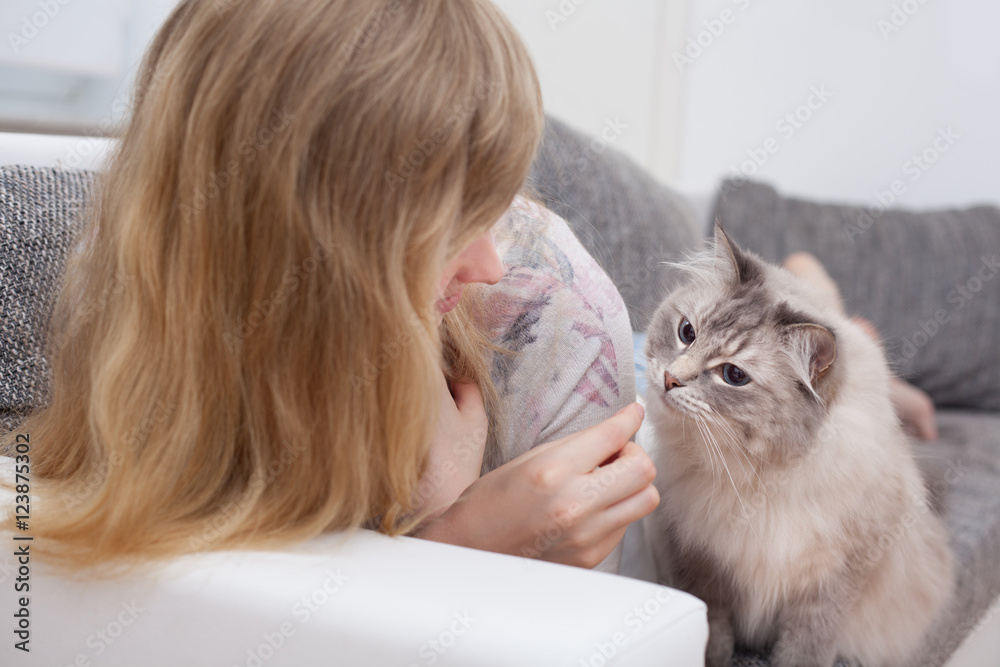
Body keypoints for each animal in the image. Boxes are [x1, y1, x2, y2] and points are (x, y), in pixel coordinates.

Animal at [640, 227, 952, 664]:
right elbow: (713, 633)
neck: (760, 476)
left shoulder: (831, 581)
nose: (670, 379)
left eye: (733, 375)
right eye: (687, 333)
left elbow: (805, 648)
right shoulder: (702, 562)